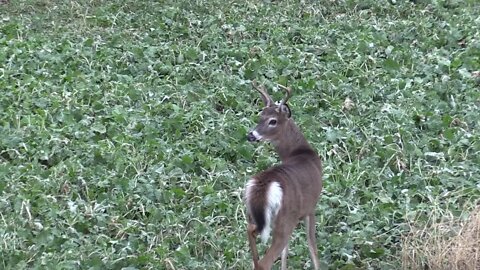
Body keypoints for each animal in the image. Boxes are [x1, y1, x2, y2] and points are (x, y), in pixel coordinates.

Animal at [244, 80, 322, 270]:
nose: (251, 135)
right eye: (260, 116)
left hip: (257, 217)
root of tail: (263, 186)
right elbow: (312, 247)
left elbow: (286, 252)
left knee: (250, 231)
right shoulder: (310, 207)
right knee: (265, 262)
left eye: (272, 120)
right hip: (285, 219)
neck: (300, 152)